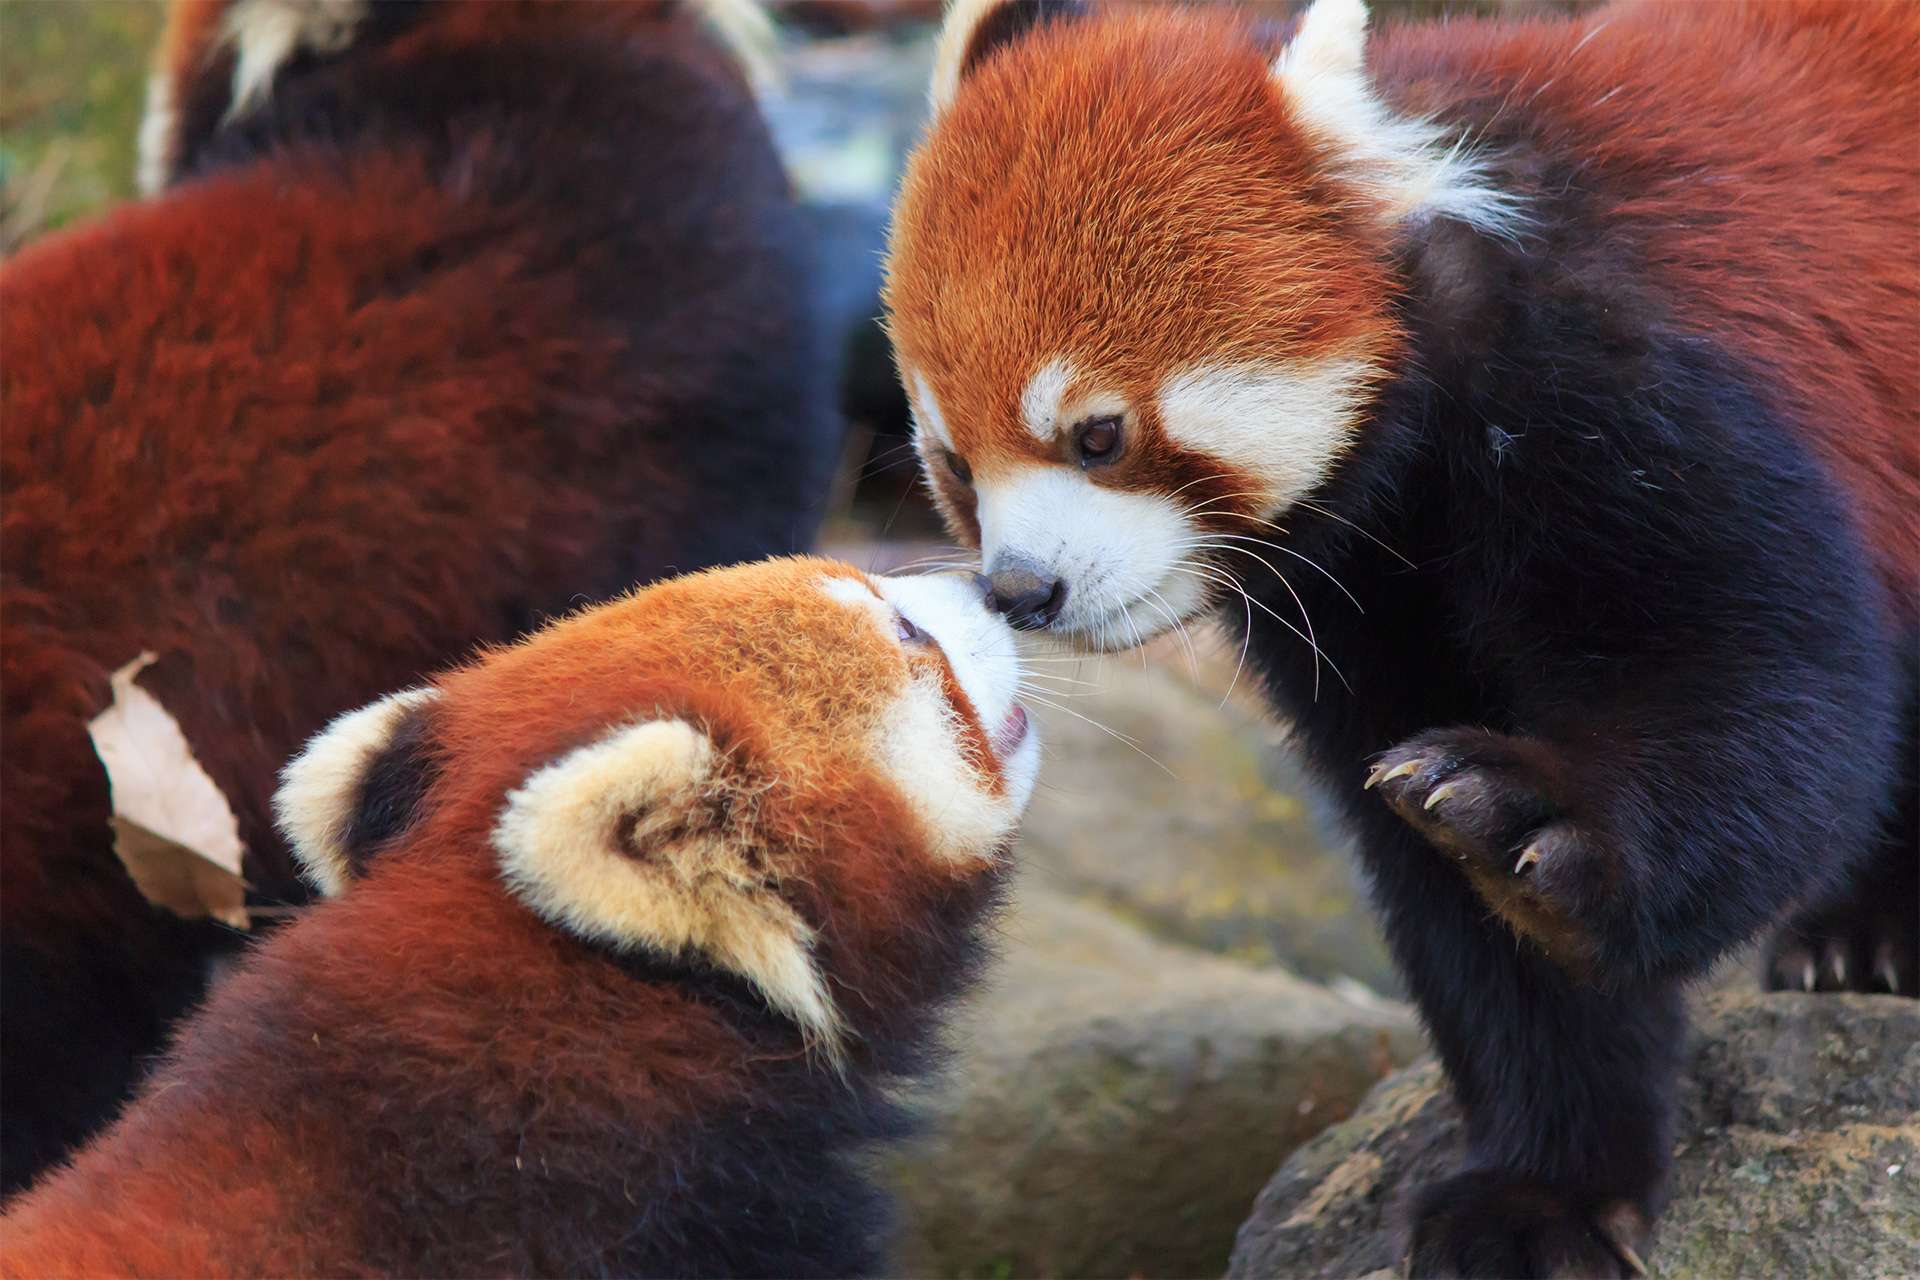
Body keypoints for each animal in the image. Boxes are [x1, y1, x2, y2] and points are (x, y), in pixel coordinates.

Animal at [883, 5, 1920, 1274]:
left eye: (1098, 434)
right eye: (954, 462)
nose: (1024, 590)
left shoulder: (1641, 385)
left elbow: (1765, 705)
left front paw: (1537, 815)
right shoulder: (1363, 593)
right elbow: (1459, 912)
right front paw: (1546, 1183)